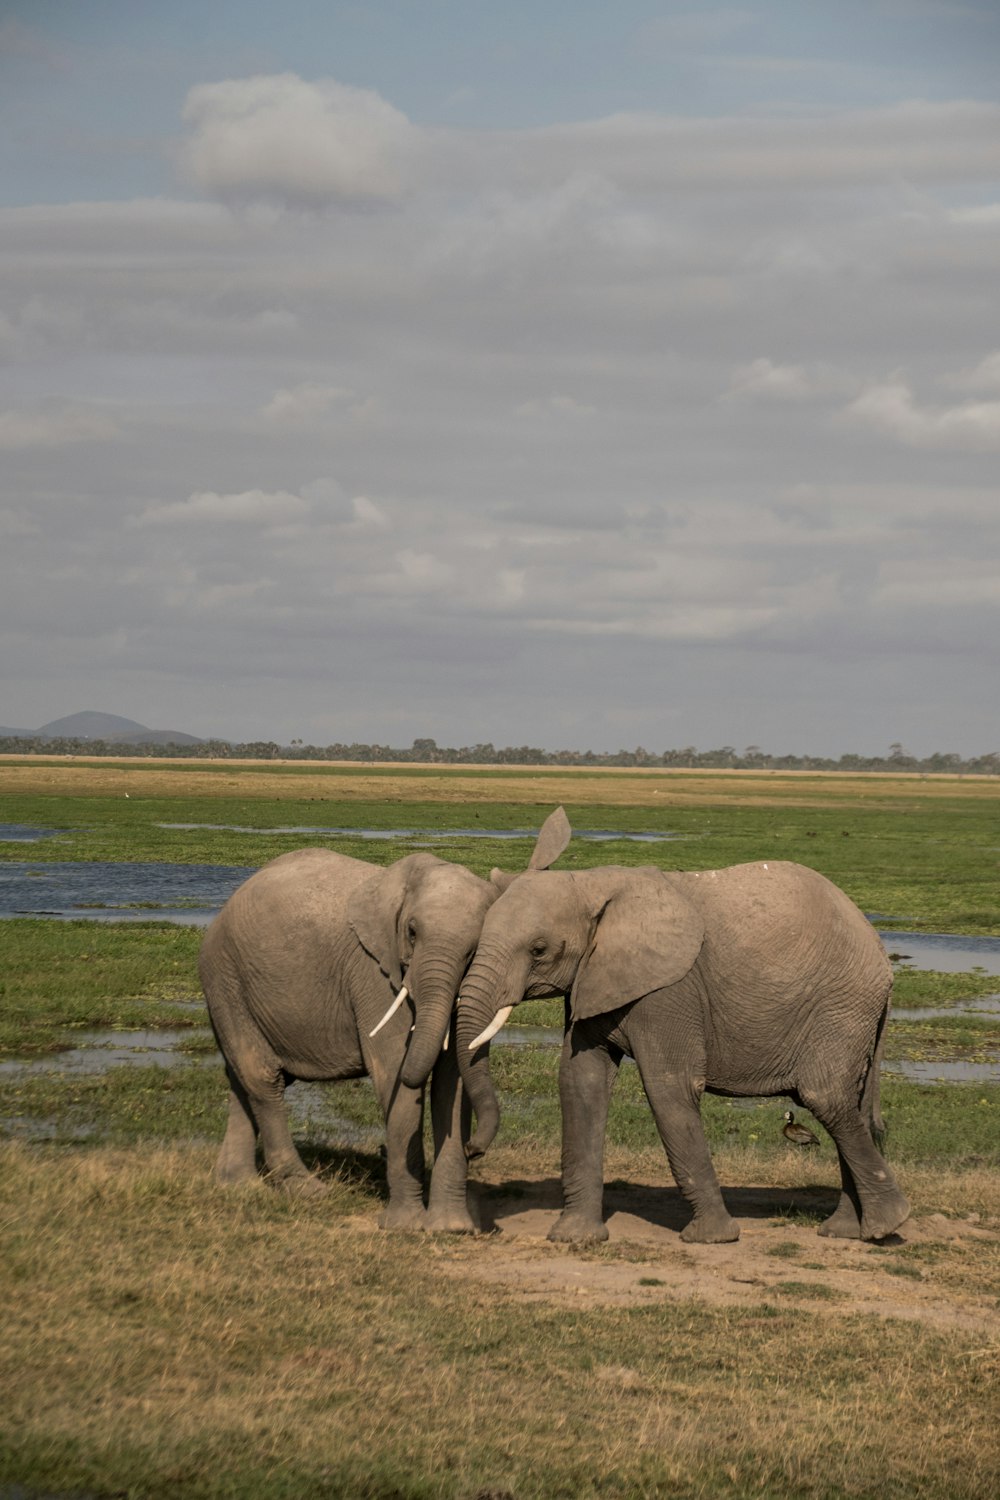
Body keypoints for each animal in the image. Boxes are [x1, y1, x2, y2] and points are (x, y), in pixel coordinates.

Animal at [199, 810, 569, 1230]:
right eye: (411, 932)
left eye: (474, 949)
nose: (477, 1151)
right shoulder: (372, 972)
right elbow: (395, 1073)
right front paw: (407, 1227)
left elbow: (454, 1081)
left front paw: (451, 1228)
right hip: (224, 975)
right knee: (262, 1076)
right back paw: (308, 1191)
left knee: (240, 1077)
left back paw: (238, 1185)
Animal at [458, 864, 911, 1248]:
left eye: (538, 949)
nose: (472, 1151)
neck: (593, 881)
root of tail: (879, 952)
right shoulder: (593, 979)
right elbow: (580, 1082)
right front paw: (574, 1239)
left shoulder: (669, 991)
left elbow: (669, 1088)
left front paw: (711, 1239)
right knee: (848, 1106)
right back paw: (846, 1231)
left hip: (840, 1008)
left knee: (826, 1098)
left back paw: (887, 1225)